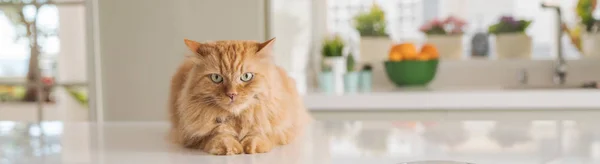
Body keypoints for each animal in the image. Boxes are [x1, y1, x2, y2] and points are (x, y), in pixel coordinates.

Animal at [168, 38, 310, 155]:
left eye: (246, 76)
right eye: (216, 78)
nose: (232, 94)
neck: (237, 120)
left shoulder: (284, 130)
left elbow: (260, 133)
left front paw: (253, 146)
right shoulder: (190, 136)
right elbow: (218, 135)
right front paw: (229, 147)